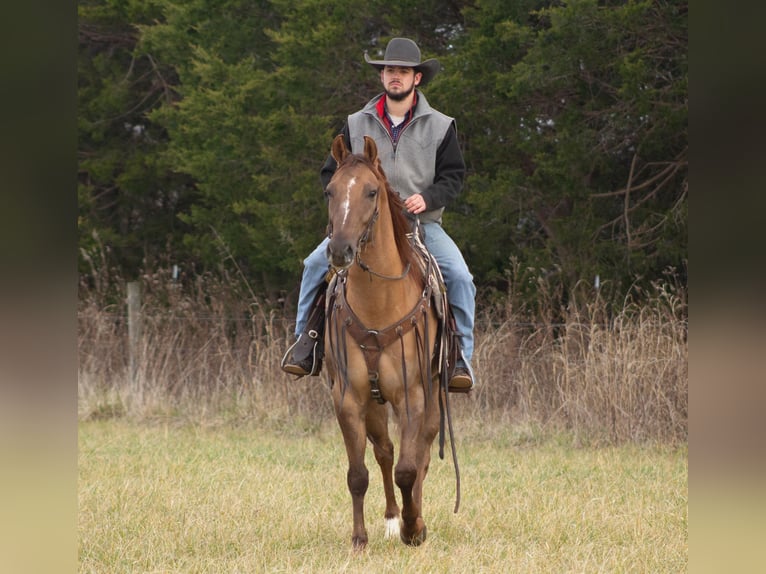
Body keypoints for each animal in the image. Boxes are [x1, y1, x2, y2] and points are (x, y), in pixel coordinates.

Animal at [322, 136, 460, 552]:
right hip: (374, 402)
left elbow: (409, 469)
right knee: (384, 451)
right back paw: (390, 518)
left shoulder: (413, 397)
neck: (378, 305)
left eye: (371, 191)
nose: (340, 250)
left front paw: (415, 529)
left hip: (432, 398)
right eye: (330, 190)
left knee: (422, 453)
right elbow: (359, 473)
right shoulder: (348, 399)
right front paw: (360, 539)